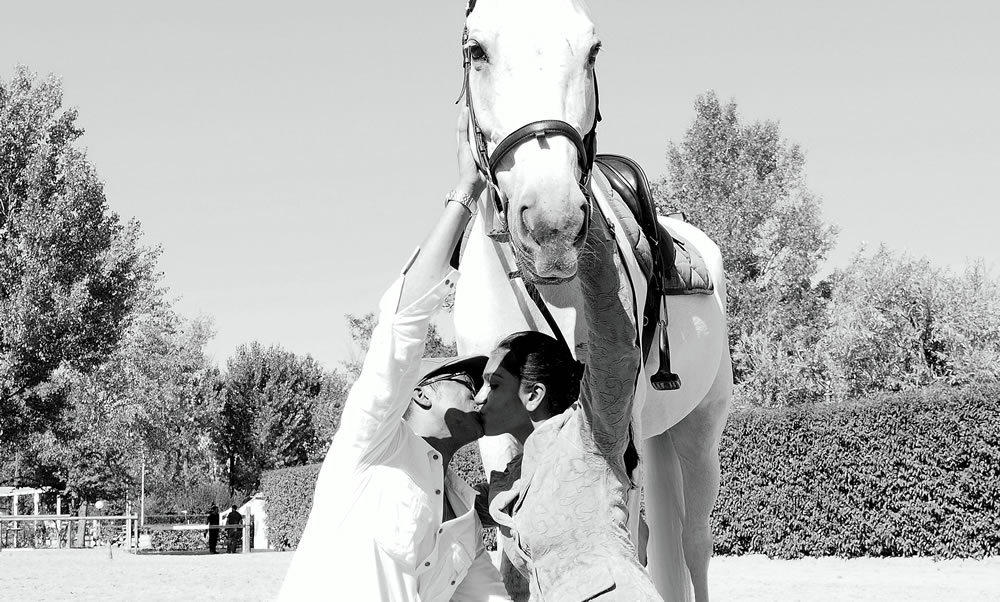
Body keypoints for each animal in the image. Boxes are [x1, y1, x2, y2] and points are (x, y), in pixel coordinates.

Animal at [450, 2, 732, 596]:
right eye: (476, 50)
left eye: (592, 50)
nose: (552, 224)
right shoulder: (500, 440)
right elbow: (512, 558)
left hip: (700, 429)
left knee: (692, 544)